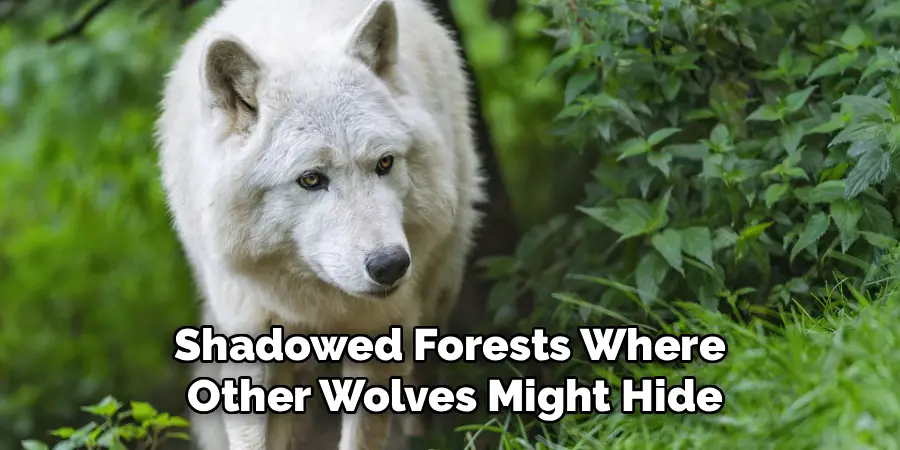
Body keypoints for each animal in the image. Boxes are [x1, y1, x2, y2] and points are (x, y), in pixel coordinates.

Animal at [154, 0, 485, 448]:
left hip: (437, 296)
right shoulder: (250, 331)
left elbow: (363, 435)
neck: (320, 303)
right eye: (311, 179)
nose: (390, 266)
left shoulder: (382, 330)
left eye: (384, 162)